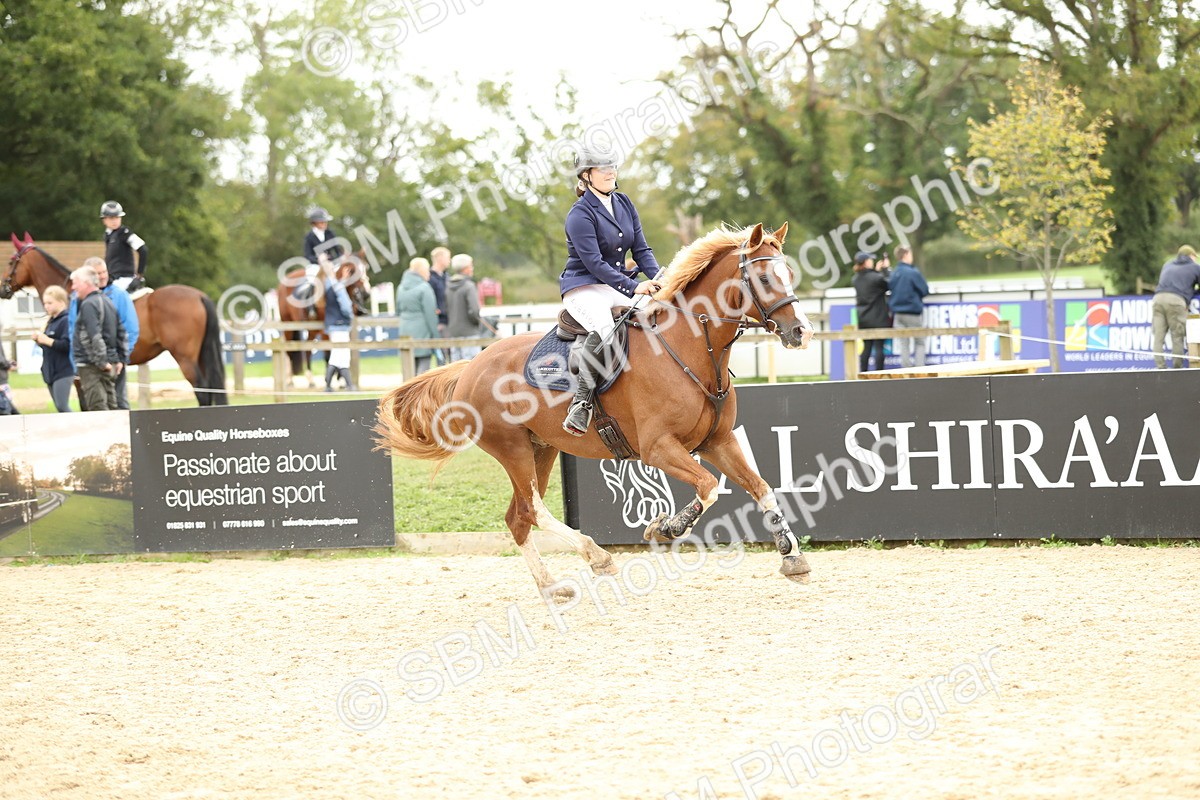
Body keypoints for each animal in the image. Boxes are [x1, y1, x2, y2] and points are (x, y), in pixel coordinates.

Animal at [5, 232, 228, 406]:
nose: (2, 288)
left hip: (185, 357)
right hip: (201, 356)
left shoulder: (78, 372)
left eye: (11, 261)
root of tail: (199, 295)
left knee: (202, 389)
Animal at [274, 255, 372, 387]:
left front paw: (340, 380)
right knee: (289, 352)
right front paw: (329, 381)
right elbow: (328, 354)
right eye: (352, 270)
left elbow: (343, 350)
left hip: (312, 329)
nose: (366, 293)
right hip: (289, 326)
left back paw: (310, 379)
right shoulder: (326, 330)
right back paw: (292, 381)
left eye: (366, 267)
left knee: (308, 350)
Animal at [374, 223, 815, 598]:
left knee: (517, 518)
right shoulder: (659, 448)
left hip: (542, 448)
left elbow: (761, 488)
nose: (802, 332)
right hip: (511, 448)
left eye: (790, 275)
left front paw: (791, 554)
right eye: (764, 278)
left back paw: (551, 587)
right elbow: (707, 488)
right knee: (534, 510)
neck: (688, 347)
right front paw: (666, 527)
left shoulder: (717, 442)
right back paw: (596, 555)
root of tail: (471, 367)